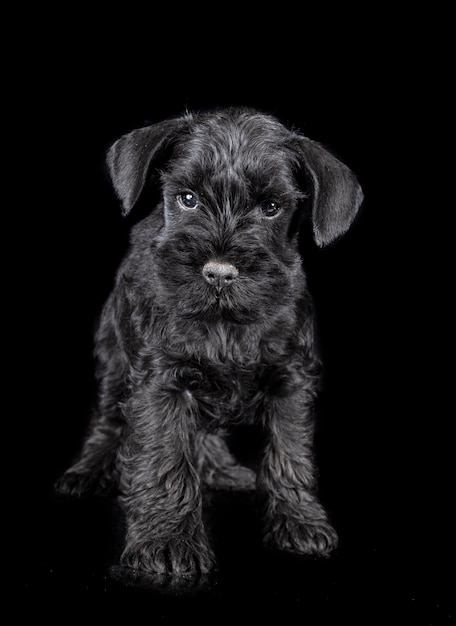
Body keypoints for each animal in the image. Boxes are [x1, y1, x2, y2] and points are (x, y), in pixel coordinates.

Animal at [56, 106, 364, 576]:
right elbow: (165, 458)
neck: (226, 324)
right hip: (113, 360)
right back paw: (88, 472)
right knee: (108, 422)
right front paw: (167, 541)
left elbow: (290, 453)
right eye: (187, 199)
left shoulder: (291, 380)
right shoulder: (161, 381)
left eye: (271, 208)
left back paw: (221, 469)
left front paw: (299, 522)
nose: (219, 272)